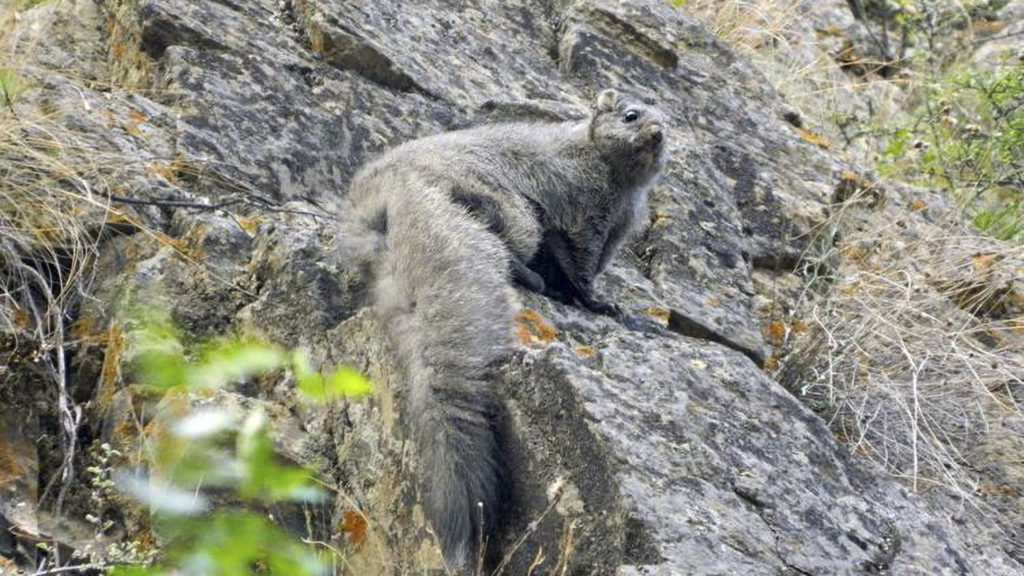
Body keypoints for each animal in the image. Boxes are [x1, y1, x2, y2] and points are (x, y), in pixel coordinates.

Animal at [345, 88, 668, 568]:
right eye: (631, 115)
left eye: (670, 123)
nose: (658, 131)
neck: (622, 191)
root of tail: (387, 192)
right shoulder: (586, 213)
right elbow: (581, 263)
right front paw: (598, 300)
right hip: (509, 207)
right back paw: (528, 276)